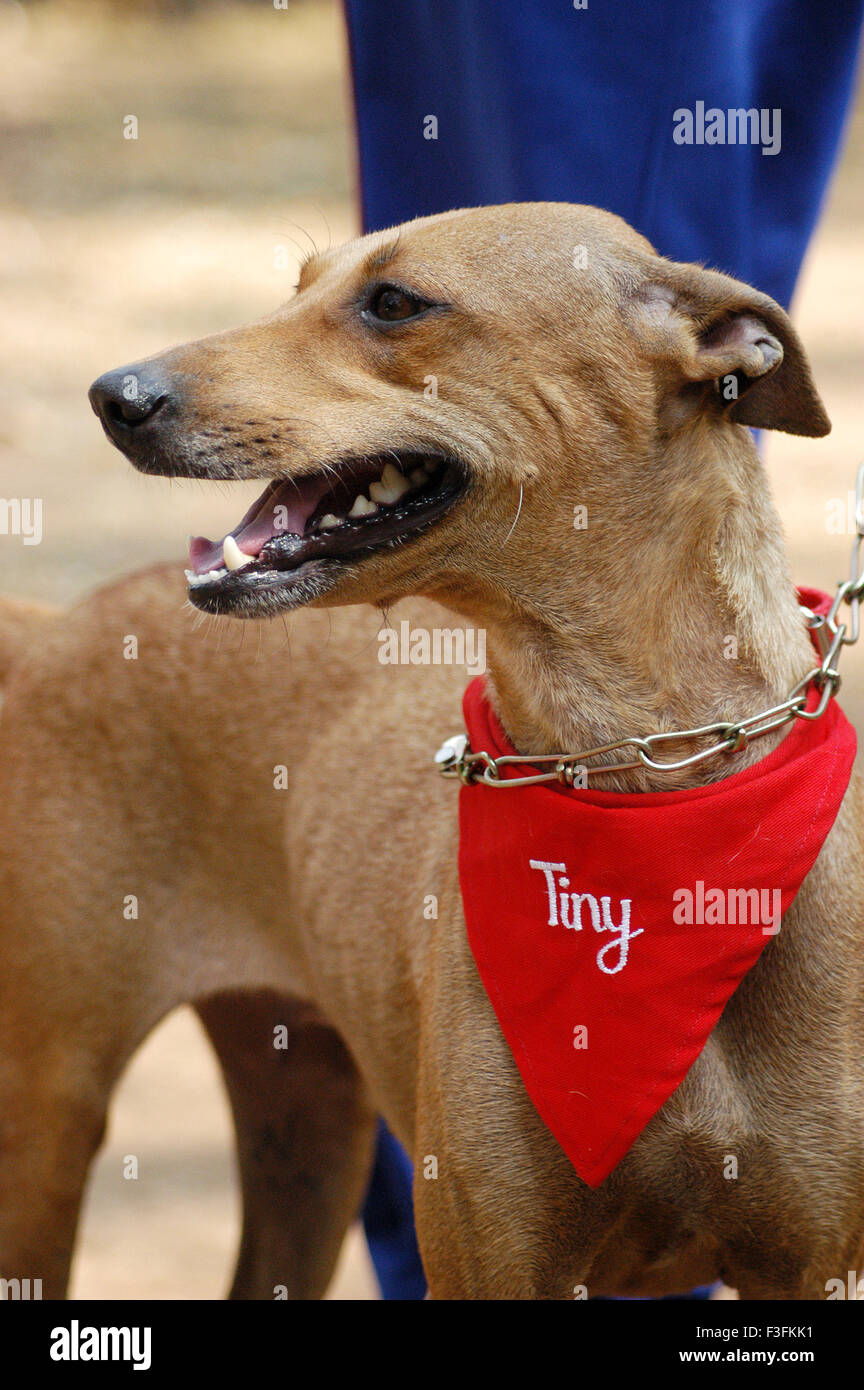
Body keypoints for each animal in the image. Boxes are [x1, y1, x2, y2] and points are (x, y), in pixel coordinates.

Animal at [1, 201, 864, 1295]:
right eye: (297, 287)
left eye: (395, 303)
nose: (117, 395)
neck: (641, 780)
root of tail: (61, 625)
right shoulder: (491, 1261)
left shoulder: (809, 1261)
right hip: (47, 1124)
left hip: (304, 1127)